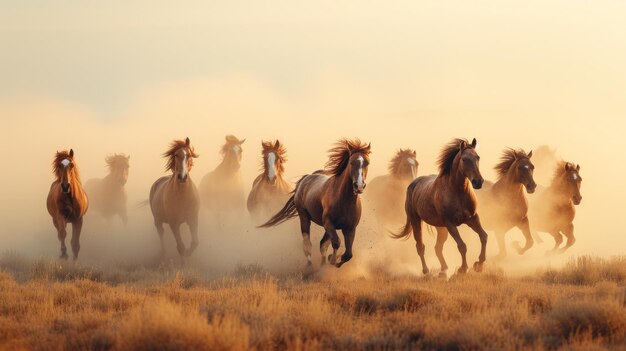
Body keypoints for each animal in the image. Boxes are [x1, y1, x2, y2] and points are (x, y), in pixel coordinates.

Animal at [260, 139, 370, 268]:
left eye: (367, 163)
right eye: (352, 162)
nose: (359, 186)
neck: (344, 201)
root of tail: (306, 179)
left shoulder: (350, 229)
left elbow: (348, 254)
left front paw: (333, 260)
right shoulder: (328, 224)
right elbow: (336, 243)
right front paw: (332, 259)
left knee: (322, 244)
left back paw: (322, 265)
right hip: (304, 217)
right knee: (307, 243)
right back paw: (310, 266)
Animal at [390, 138, 488, 278]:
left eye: (477, 157)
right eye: (464, 159)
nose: (478, 182)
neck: (458, 192)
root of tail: (413, 183)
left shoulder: (472, 218)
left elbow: (484, 236)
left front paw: (479, 265)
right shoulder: (450, 223)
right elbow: (462, 245)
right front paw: (463, 269)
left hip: (441, 228)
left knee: (437, 248)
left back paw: (443, 270)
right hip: (416, 221)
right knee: (420, 246)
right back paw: (426, 271)